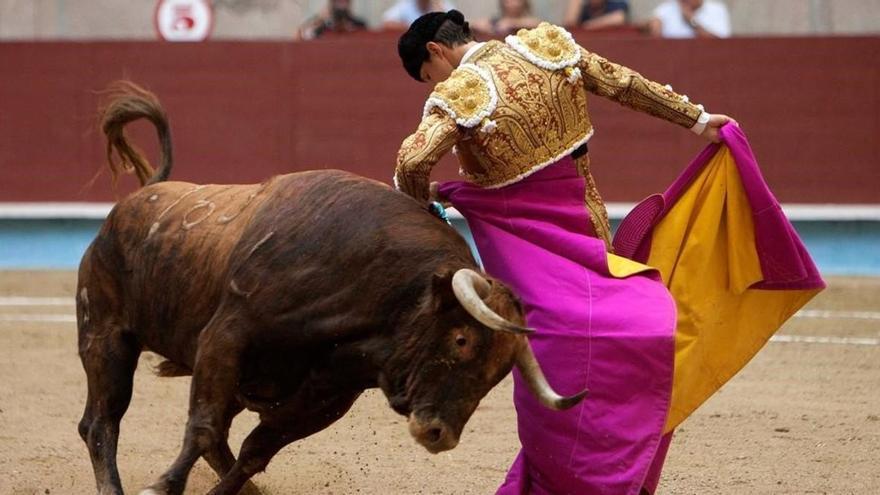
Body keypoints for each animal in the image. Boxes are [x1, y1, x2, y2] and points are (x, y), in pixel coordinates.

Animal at [75, 82, 584, 495]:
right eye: (461, 340)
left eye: (500, 375)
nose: (440, 435)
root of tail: (139, 197)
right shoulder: (225, 338)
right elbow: (203, 426)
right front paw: (160, 486)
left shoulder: (329, 393)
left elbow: (256, 449)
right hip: (106, 335)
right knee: (101, 422)